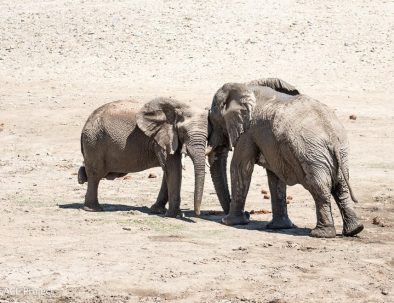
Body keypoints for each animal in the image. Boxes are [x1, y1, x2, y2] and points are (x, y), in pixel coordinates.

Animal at [76, 98, 206, 217]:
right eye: (183, 132)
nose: (197, 214)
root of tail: (85, 124)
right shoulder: (162, 137)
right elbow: (173, 168)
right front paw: (175, 215)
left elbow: (168, 170)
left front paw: (157, 211)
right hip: (94, 141)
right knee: (96, 175)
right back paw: (93, 208)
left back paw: (81, 177)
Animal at [208, 79, 364, 240]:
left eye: (212, 119)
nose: (248, 214)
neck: (245, 86)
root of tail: (331, 135)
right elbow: (275, 176)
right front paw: (278, 227)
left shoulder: (248, 130)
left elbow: (241, 167)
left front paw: (229, 222)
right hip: (340, 151)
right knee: (341, 186)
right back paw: (354, 230)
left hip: (311, 152)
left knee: (319, 186)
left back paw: (320, 234)